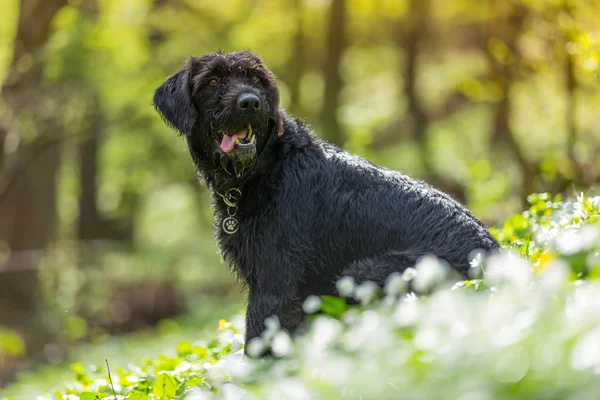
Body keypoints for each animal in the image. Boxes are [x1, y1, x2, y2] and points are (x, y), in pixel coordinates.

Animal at [152, 50, 500, 350]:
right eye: (212, 81)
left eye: (255, 78)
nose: (250, 102)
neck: (268, 164)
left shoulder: (274, 282)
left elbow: (258, 343)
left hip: (364, 273)